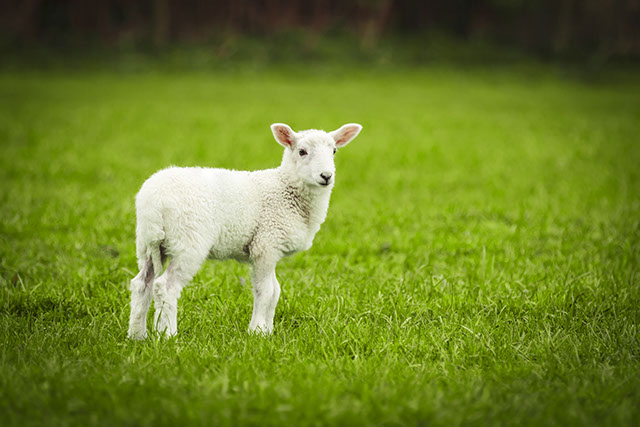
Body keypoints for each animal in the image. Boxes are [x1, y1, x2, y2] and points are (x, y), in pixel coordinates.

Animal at [127, 122, 363, 339]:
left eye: (334, 151)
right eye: (302, 151)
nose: (326, 176)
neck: (285, 189)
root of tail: (154, 201)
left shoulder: (271, 248)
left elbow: (276, 291)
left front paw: (268, 331)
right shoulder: (265, 244)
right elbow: (265, 291)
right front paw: (257, 332)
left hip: (148, 244)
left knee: (141, 284)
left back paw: (137, 335)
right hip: (188, 242)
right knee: (165, 287)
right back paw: (168, 334)